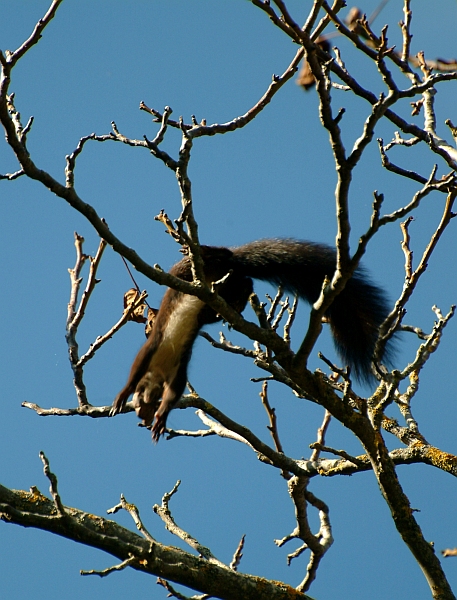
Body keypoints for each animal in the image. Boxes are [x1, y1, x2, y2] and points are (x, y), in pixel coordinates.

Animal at [109, 239, 392, 440]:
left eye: (143, 400)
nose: (142, 417)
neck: (163, 363)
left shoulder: (166, 354)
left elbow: (157, 380)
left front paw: (141, 407)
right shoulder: (168, 360)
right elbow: (160, 382)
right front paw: (149, 412)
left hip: (196, 271)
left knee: (220, 258)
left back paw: (200, 250)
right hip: (222, 288)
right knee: (242, 282)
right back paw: (235, 302)